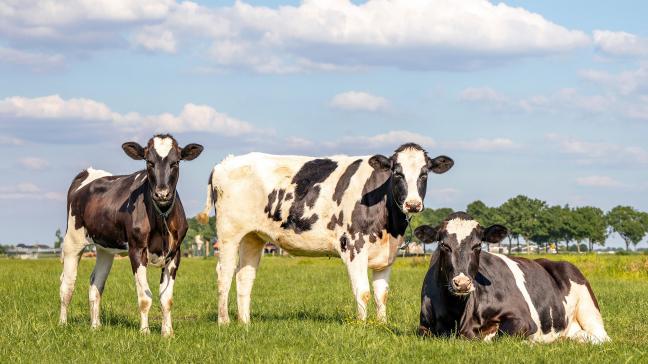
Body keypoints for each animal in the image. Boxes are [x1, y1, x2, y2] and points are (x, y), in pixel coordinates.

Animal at [60, 134, 204, 336]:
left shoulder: (175, 253)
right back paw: (62, 324)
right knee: (67, 284)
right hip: (72, 240)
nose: (162, 194)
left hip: (105, 248)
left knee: (96, 283)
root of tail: (88, 172)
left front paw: (168, 333)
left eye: (175, 162)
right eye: (149, 162)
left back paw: (95, 326)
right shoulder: (136, 249)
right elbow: (145, 297)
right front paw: (144, 332)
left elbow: (166, 299)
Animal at [195, 143, 454, 324]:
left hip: (253, 236)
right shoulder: (353, 247)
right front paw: (363, 326)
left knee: (244, 276)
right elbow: (363, 293)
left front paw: (382, 325)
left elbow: (382, 295)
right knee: (224, 273)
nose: (413, 204)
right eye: (397, 172)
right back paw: (224, 321)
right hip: (229, 233)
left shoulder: (386, 256)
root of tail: (225, 162)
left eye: (424, 174)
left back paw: (245, 322)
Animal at [416, 212, 608, 342]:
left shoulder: (524, 319)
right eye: (444, 245)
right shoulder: (423, 326)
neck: (457, 314)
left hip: (588, 308)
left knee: (601, 336)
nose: (462, 283)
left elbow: (497, 336)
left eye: (477, 245)